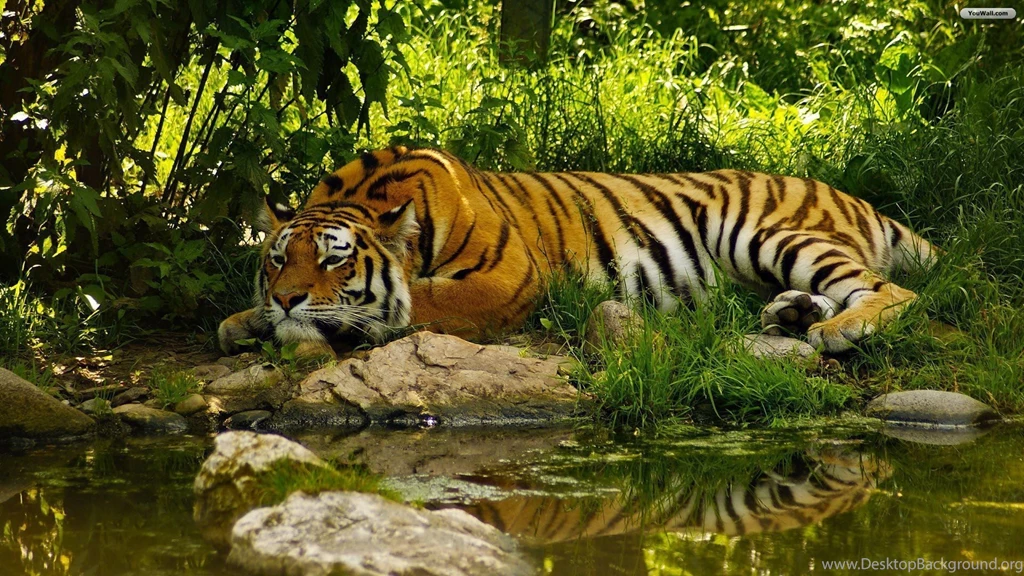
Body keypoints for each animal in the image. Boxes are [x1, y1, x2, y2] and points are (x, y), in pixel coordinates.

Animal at [217, 145, 936, 357]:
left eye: (335, 259)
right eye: (278, 258)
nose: (287, 299)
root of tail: (851, 196)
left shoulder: (507, 277)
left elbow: (417, 302)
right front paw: (245, 320)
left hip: (765, 232)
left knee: (892, 291)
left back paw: (837, 330)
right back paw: (792, 314)